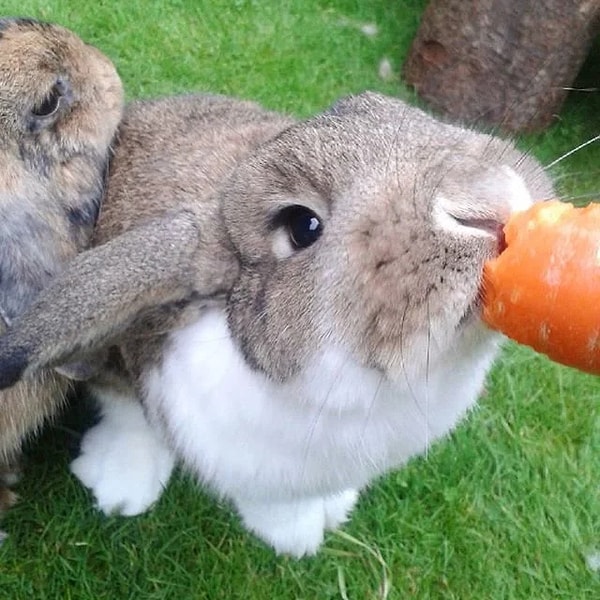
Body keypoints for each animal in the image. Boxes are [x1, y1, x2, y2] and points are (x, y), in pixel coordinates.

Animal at [0, 18, 552, 556]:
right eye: (302, 226)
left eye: (390, 109)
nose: (488, 203)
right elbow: (127, 410)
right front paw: (119, 486)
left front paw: (316, 520)